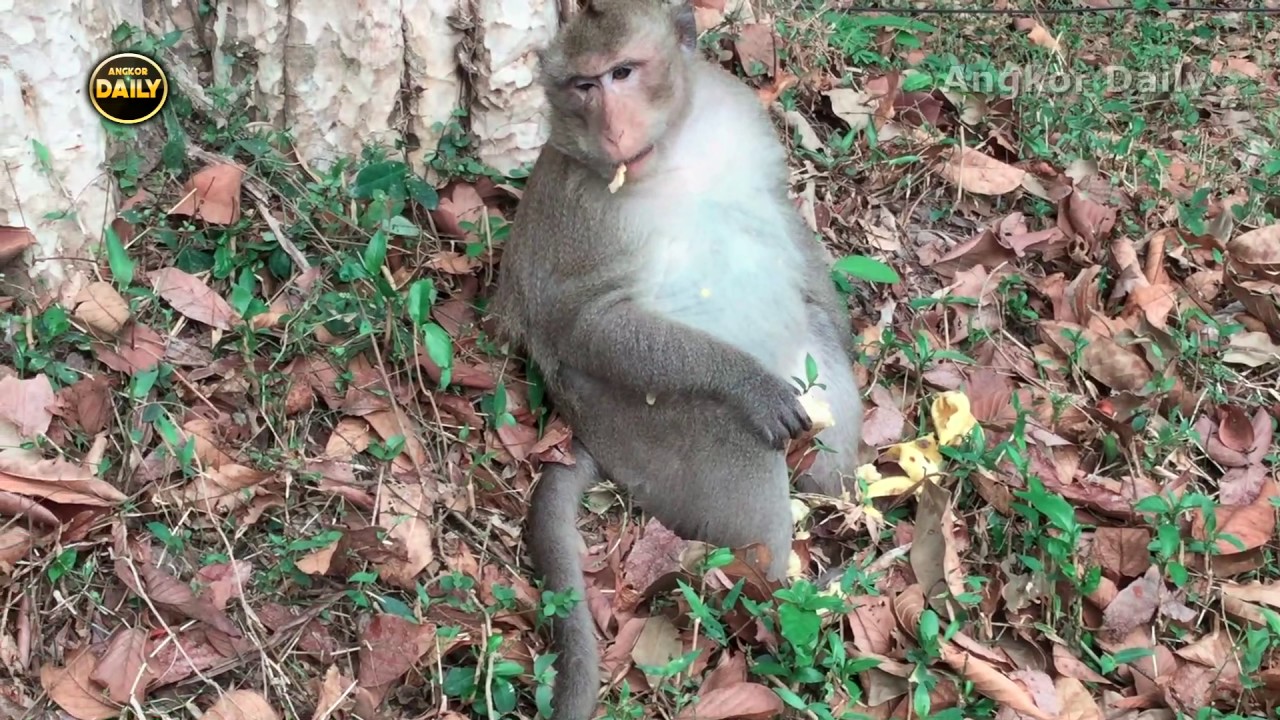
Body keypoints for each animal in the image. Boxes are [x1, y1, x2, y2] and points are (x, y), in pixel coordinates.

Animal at [487, 0, 864, 717]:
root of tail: (588, 437)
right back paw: (781, 602)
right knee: (739, 451)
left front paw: (839, 315)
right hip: (649, 438)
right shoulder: (585, 207)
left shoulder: (736, 107)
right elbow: (592, 324)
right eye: (583, 85)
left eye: (622, 73)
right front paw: (747, 385)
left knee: (828, 400)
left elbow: (779, 211)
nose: (612, 128)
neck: (670, 153)